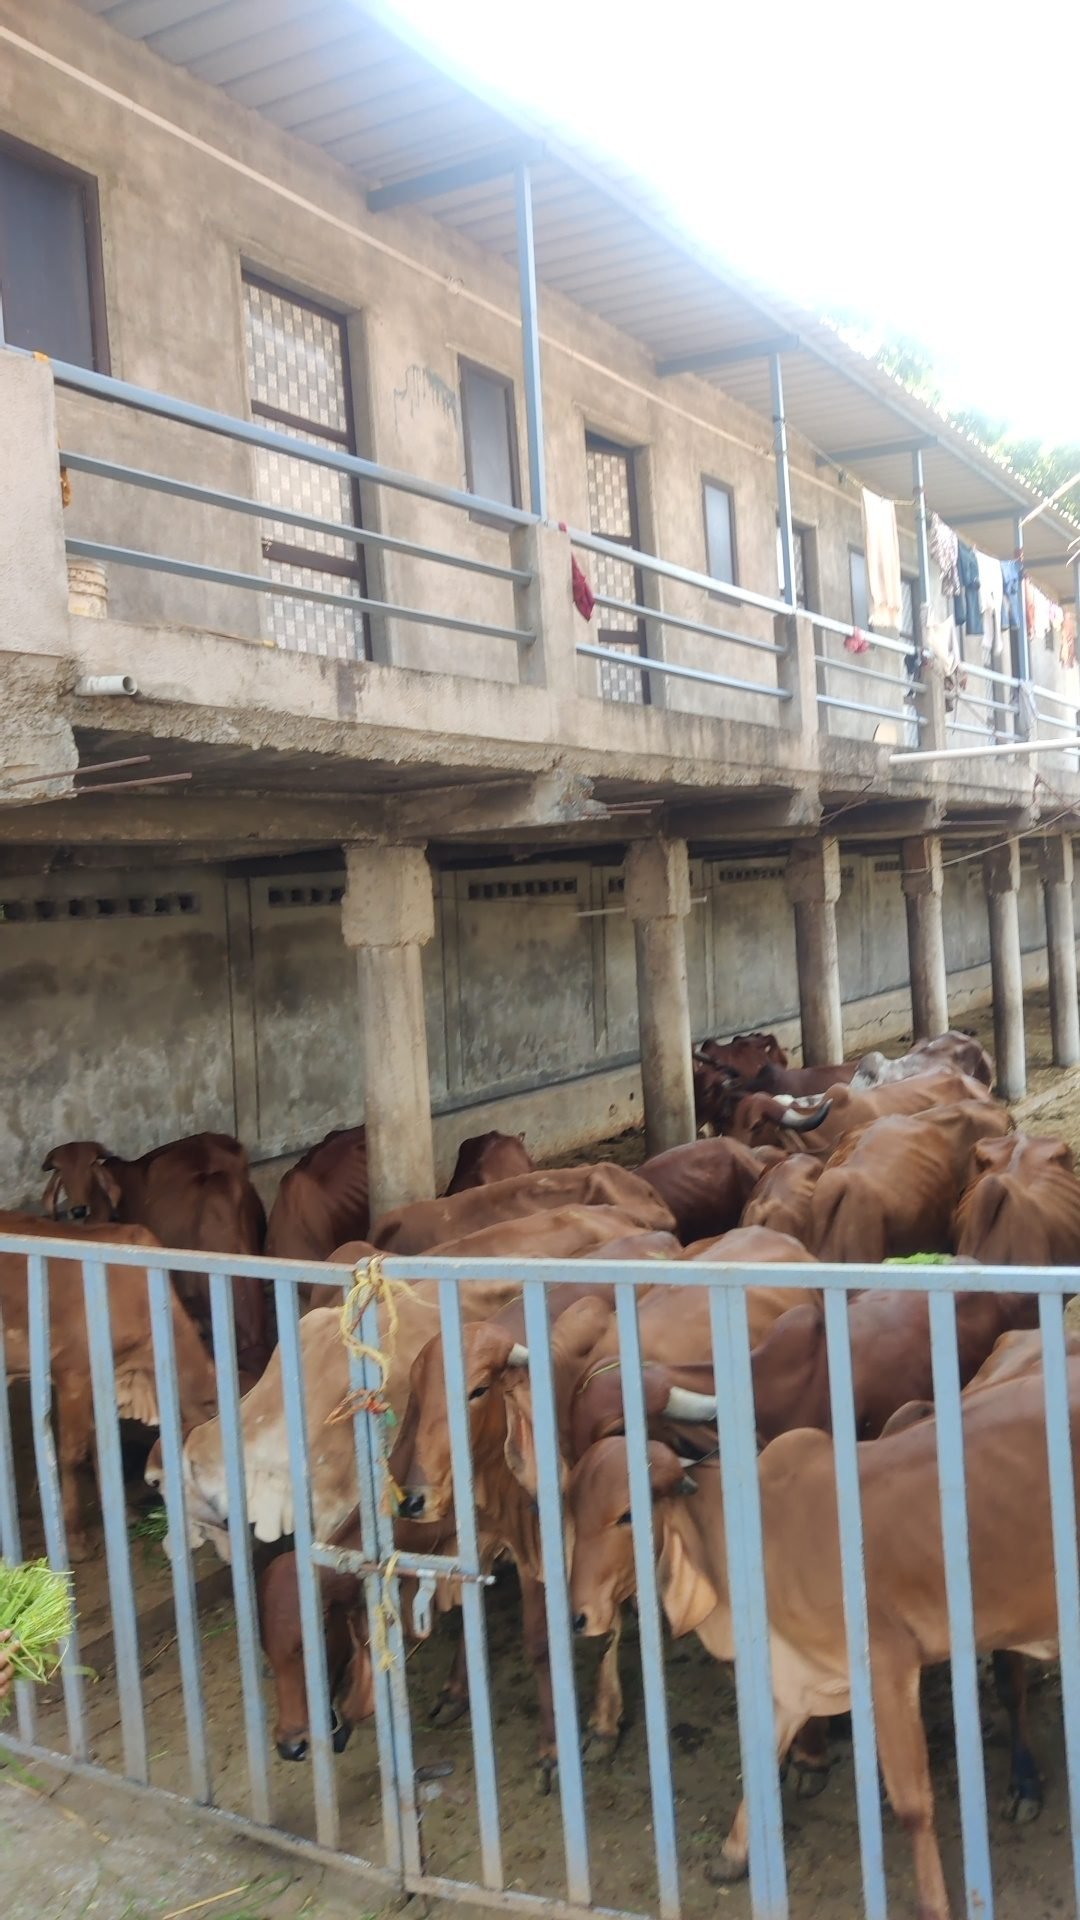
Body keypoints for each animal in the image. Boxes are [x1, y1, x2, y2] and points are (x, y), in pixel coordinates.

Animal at [568, 1358, 1080, 1920]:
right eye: (571, 1508)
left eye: (627, 1515)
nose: (579, 1616)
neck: (756, 1534)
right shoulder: (791, 1678)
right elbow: (761, 1759)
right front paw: (733, 1855)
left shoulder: (888, 1665)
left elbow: (913, 1805)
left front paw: (934, 1903)